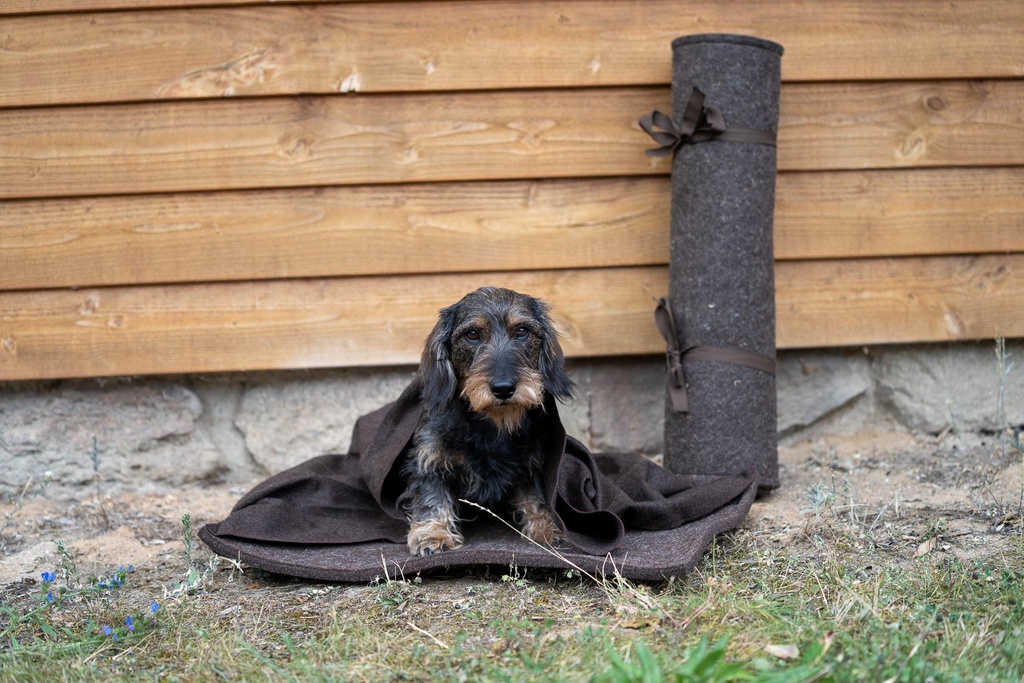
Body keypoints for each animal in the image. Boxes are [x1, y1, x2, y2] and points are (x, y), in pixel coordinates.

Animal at [397, 286, 577, 557]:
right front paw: (433, 534)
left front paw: (545, 528)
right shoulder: (428, 457)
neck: (491, 425)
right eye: (472, 334)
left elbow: (534, 496)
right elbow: (432, 496)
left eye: (522, 331)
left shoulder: (531, 462)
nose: (503, 388)